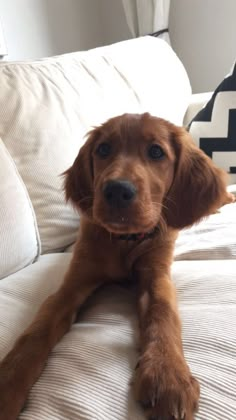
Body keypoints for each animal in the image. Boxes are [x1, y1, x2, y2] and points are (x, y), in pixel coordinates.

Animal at [0, 113, 230, 418]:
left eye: (156, 152)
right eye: (103, 149)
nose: (117, 190)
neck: (126, 240)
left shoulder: (157, 275)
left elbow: (162, 312)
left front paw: (168, 375)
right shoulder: (74, 281)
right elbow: (38, 328)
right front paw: (8, 384)